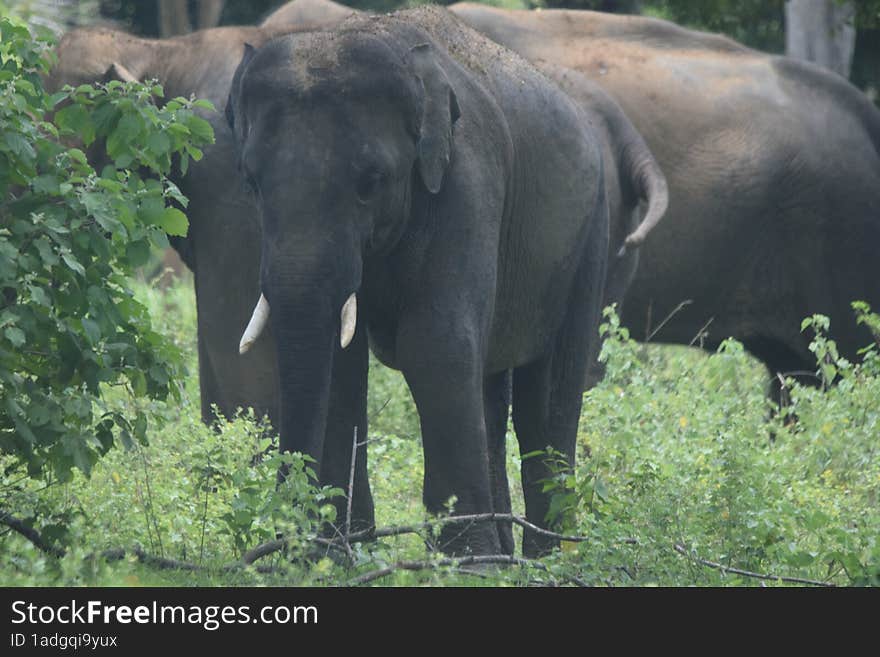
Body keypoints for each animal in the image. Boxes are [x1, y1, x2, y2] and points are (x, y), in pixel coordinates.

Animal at [227, 7, 620, 556]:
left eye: (370, 182)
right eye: (252, 181)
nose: (285, 545)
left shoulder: (467, 185)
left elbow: (435, 343)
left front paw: (470, 564)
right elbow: (342, 363)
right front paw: (341, 557)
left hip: (589, 232)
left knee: (549, 395)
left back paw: (550, 559)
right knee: (491, 392)